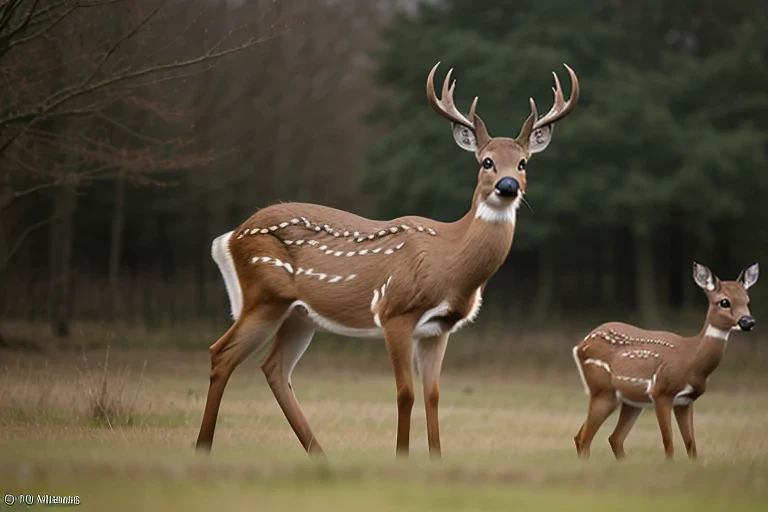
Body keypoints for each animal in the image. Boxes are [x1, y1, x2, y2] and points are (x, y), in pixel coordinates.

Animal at [194, 62, 580, 459]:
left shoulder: (439, 328)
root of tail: (230, 236)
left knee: (274, 367)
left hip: (299, 314)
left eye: (522, 163)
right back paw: (203, 447)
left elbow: (433, 395)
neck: (449, 261)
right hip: (263, 295)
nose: (508, 186)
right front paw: (401, 457)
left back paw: (319, 454)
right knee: (221, 353)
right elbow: (405, 393)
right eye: (487, 162)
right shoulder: (395, 311)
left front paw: (436, 459)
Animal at [572, 261, 760, 460]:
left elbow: (691, 444)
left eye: (747, 300)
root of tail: (581, 345)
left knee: (610, 438)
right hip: (603, 390)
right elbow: (669, 443)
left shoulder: (686, 400)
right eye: (724, 302)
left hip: (630, 401)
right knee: (585, 438)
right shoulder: (662, 392)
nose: (748, 321)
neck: (691, 359)